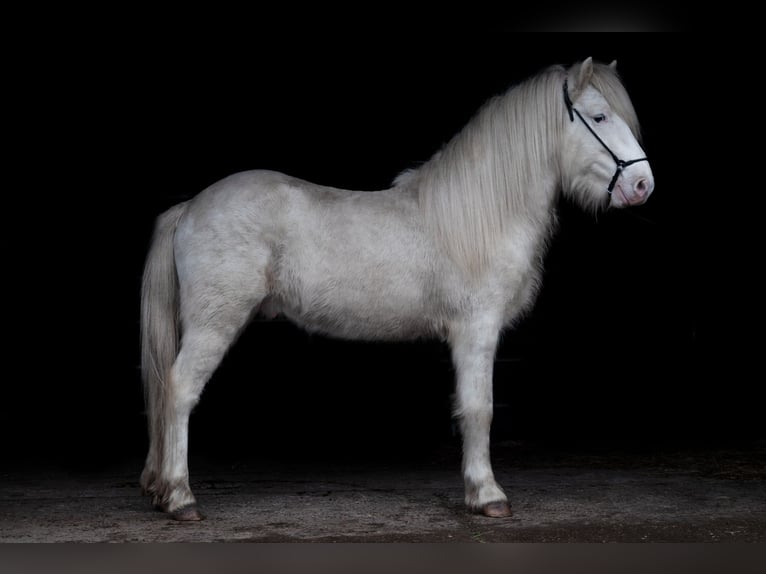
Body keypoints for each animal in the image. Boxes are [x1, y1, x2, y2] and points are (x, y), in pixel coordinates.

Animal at [140, 58, 656, 520]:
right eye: (599, 116)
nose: (642, 184)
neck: (480, 213)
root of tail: (190, 207)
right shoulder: (476, 331)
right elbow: (479, 409)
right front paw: (487, 496)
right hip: (214, 324)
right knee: (178, 390)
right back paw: (180, 498)